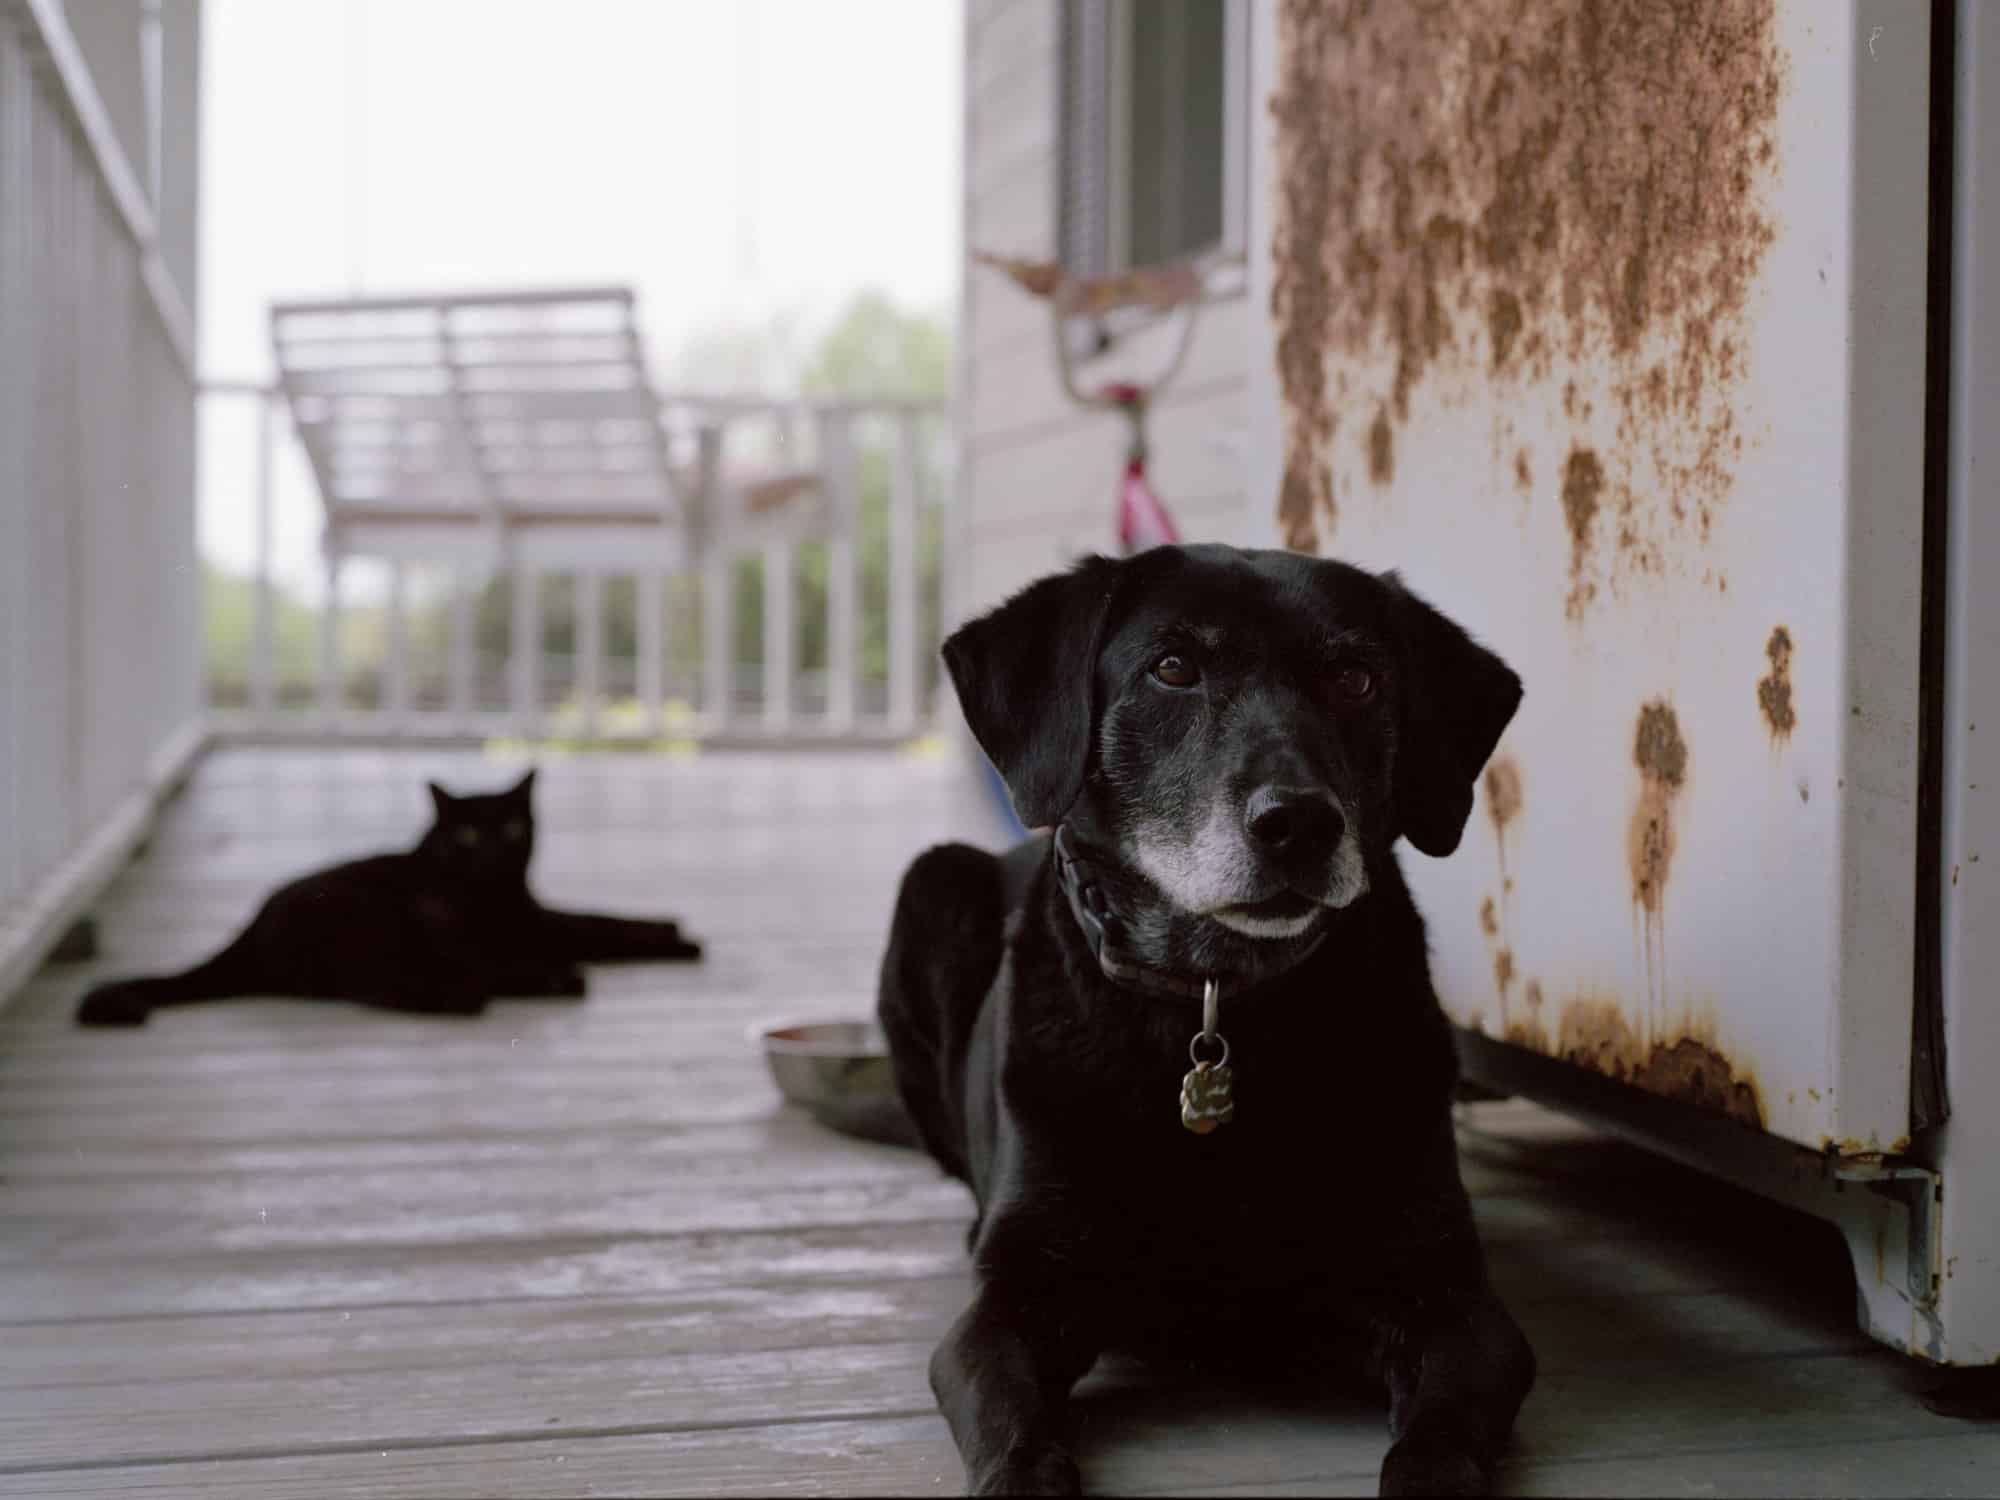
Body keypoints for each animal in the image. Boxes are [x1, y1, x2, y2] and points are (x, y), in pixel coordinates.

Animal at [876, 548, 1528, 1496]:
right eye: (1174, 668)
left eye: (1357, 678)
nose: (1299, 824)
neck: (1217, 991)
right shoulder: (1007, 1307)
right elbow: (1012, 1425)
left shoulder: (1453, 1300)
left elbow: (1436, 1443)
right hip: (931, 885)